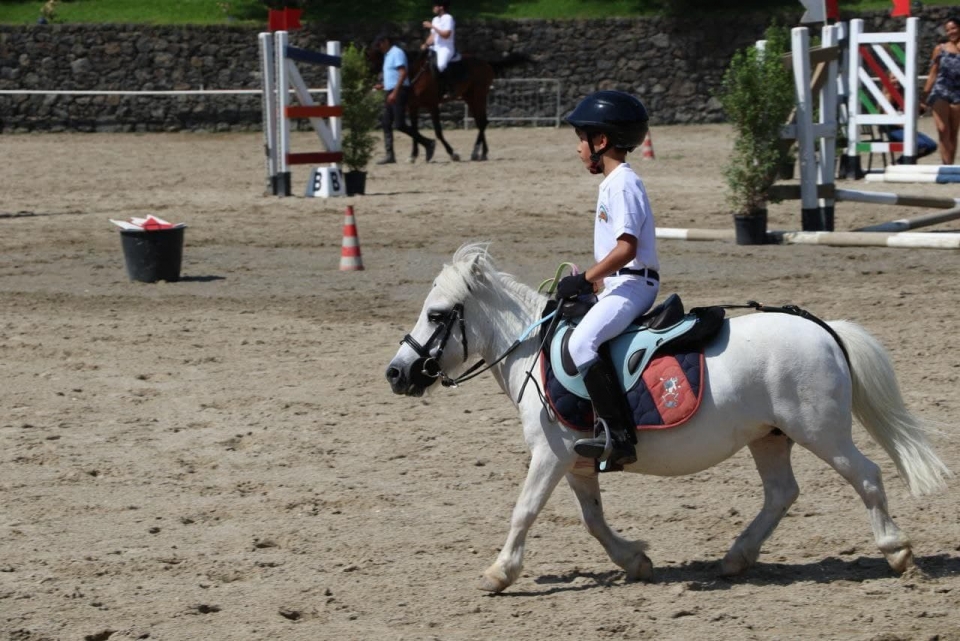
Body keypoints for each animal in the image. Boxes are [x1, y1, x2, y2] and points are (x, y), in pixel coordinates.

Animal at [368, 47, 530, 162]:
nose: (377, 85)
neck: (417, 72)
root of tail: (486, 63)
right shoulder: (413, 107)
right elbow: (413, 131)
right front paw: (413, 155)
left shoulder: (433, 105)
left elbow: (438, 131)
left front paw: (451, 153)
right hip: (470, 99)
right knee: (481, 122)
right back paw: (482, 153)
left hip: (479, 96)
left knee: (482, 122)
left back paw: (476, 152)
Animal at [384, 243, 951, 594]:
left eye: (437, 315)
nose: (395, 373)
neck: (533, 350)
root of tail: (820, 327)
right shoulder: (576, 459)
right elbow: (593, 519)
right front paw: (634, 561)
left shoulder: (549, 454)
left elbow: (523, 511)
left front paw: (500, 573)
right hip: (770, 437)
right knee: (781, 493)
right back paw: (736, 557)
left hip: (821, 431)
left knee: (866, 476)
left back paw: (898, 553)